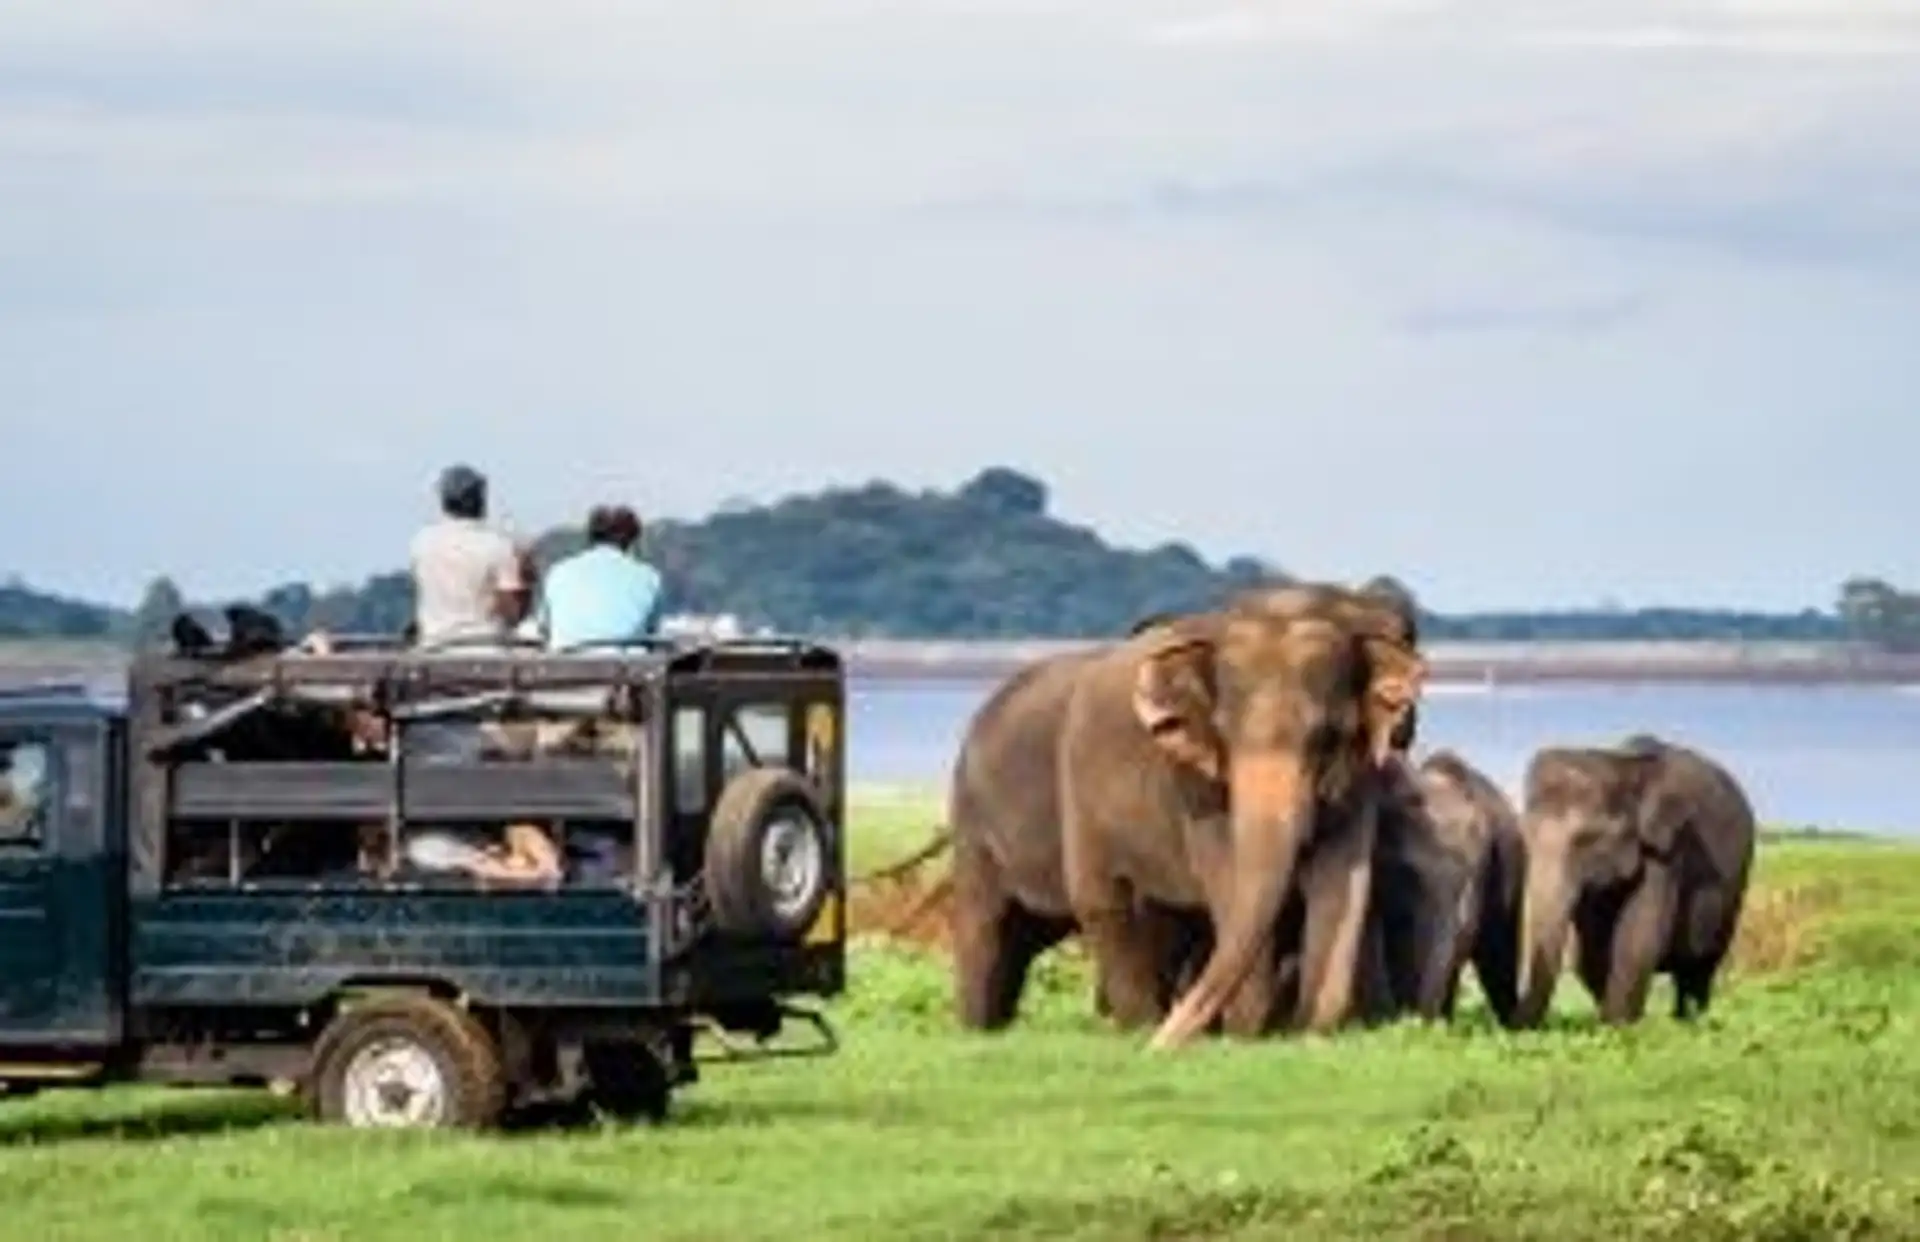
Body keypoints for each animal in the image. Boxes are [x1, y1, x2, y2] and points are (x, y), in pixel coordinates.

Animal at [1061, 605, 1425, 1049]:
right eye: (1223, 734)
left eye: (1326, 736)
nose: (1160, 1048)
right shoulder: (1197, 787)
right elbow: (1229, 882)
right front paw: (1246, 1037)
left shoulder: (1357, 780)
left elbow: (1342, 884)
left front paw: (1307, 1033)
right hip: (1080, 794)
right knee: (1105, 901)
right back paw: (1141, 1026)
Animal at [1512, 734, 1756, 1027]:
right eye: (1524, 836)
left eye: (1588, 839)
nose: (1513, 1025)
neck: (1622, 762)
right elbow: (1589, 955)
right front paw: (1611, 1023)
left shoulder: (1666, 851)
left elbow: (1638, 939)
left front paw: (1618, 1026)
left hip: (1738, 880)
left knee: (1700, 968)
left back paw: (1690, 1021)